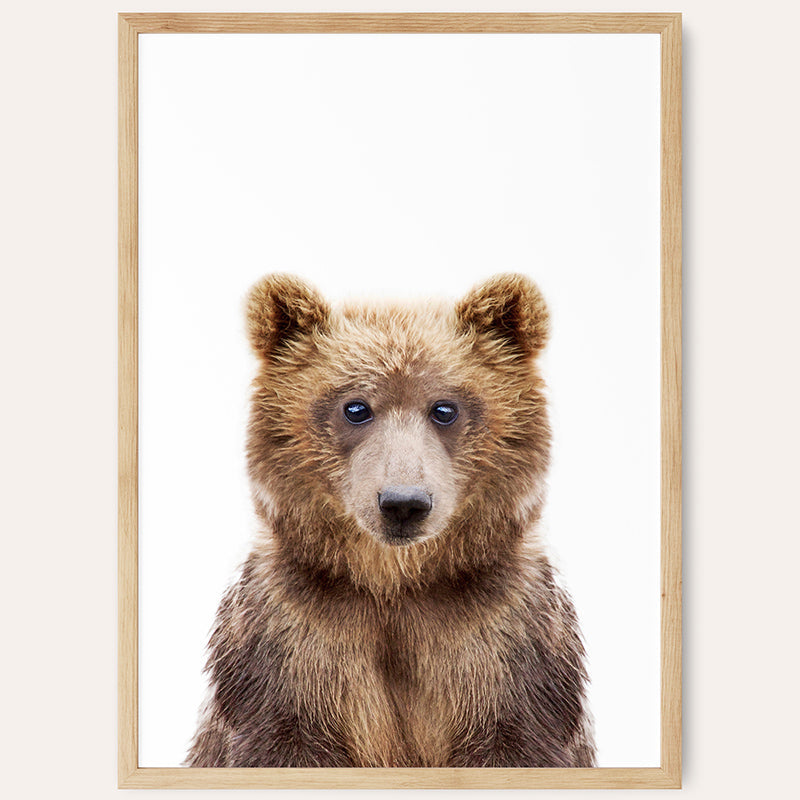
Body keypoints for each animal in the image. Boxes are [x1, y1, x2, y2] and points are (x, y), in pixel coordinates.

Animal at [186, 273, 595, 768]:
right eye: (356, 407)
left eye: (444, 408)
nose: (403, 503)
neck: (395, 584)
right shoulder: (289, 643)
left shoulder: (506, 643)